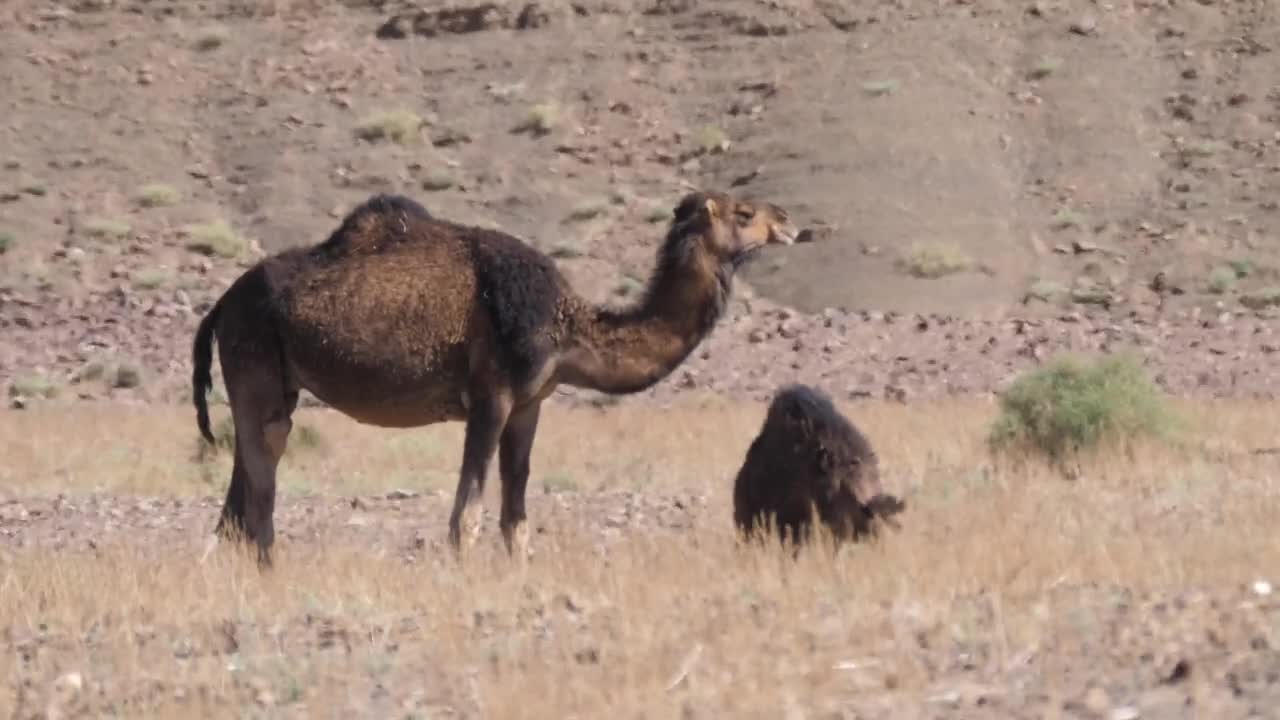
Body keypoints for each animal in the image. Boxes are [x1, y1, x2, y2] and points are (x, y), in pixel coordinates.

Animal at [192, 190, 799, 566]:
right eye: (744, 213)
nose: (790, 222)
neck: (567, 324)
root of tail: (222, 304)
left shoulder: (530, 403)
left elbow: (516, 514)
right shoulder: (491, 396)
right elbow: (468, 515)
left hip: (270, 379)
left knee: (246, 475)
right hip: (255, 361)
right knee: (264, 466)